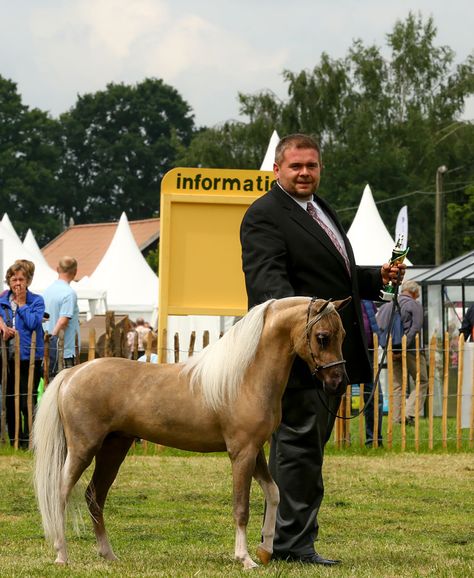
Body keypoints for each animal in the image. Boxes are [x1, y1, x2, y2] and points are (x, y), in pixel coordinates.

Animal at [32, 296, 348, 568]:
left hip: (114, 450)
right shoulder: (241, 453)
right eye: (322, 336)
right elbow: (242, 508)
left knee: (94, 497)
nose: (338, 382)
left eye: (343, 334)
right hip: (83, 450)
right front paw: (245, 558)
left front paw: (265, 550)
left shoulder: (255, 450)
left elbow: (274, 493)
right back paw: (62, 555)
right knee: (60, 492)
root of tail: (72, 374)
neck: (244, 377)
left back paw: (108, 554)